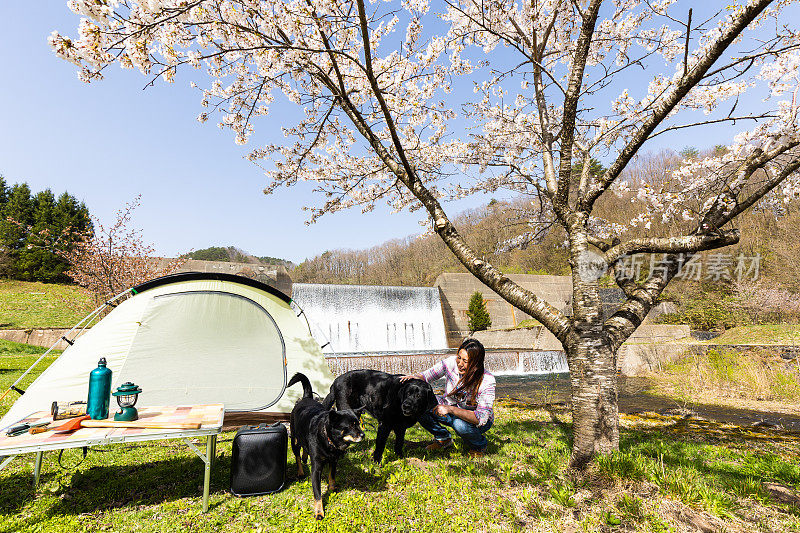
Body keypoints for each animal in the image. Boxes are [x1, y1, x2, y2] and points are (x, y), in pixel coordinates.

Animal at [288, 372, 366, 516]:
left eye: (358, 423)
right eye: (350, 426)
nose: (363, 435)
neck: (328, 440)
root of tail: (305, 398)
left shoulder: (333, 461)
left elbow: (332, 475)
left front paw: (332, 487)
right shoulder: (316, 469)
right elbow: (317, 493)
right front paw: (319, 511)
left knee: (304, 449)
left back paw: (305, 457)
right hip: (294, 440)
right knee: (297, 455)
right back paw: (300, 471)